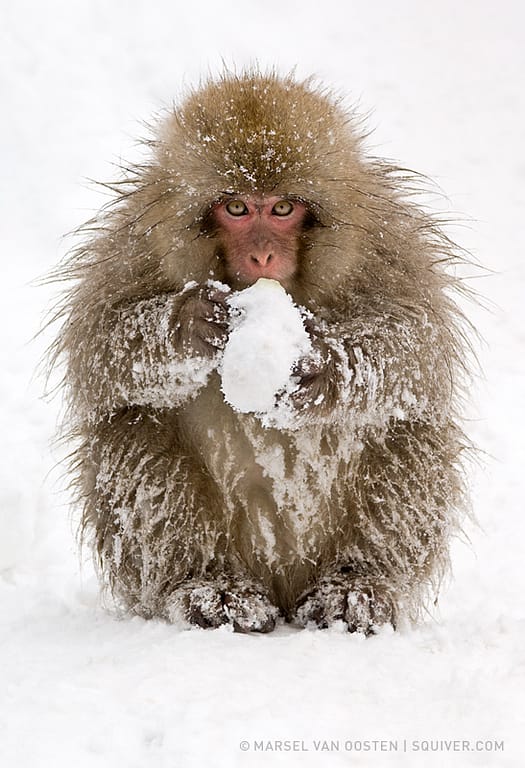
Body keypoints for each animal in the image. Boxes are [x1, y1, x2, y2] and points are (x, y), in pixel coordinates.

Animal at [48, 70, 473, 634]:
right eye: (236, 208)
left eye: (283, 208)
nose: (263, 255)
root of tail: (284, 584)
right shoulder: (136, 243)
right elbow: (99, 346)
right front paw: (188, 324)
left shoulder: (387, 244)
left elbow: (416, 345)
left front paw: (322, 370)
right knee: (131, 427)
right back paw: (208, 585)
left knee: (410, 432)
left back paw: (355, 585)